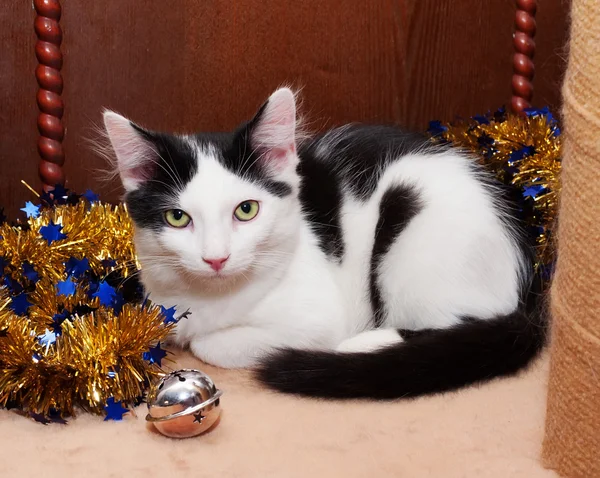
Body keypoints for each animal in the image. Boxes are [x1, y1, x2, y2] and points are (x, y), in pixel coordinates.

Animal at [103, 88, 544, 398]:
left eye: (247, 210)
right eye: (177, 218)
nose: (216, 258)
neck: (211, 297)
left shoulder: (318, 316)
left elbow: (211, 345)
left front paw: (207, 339)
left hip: (416, 227)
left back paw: (362, 346)